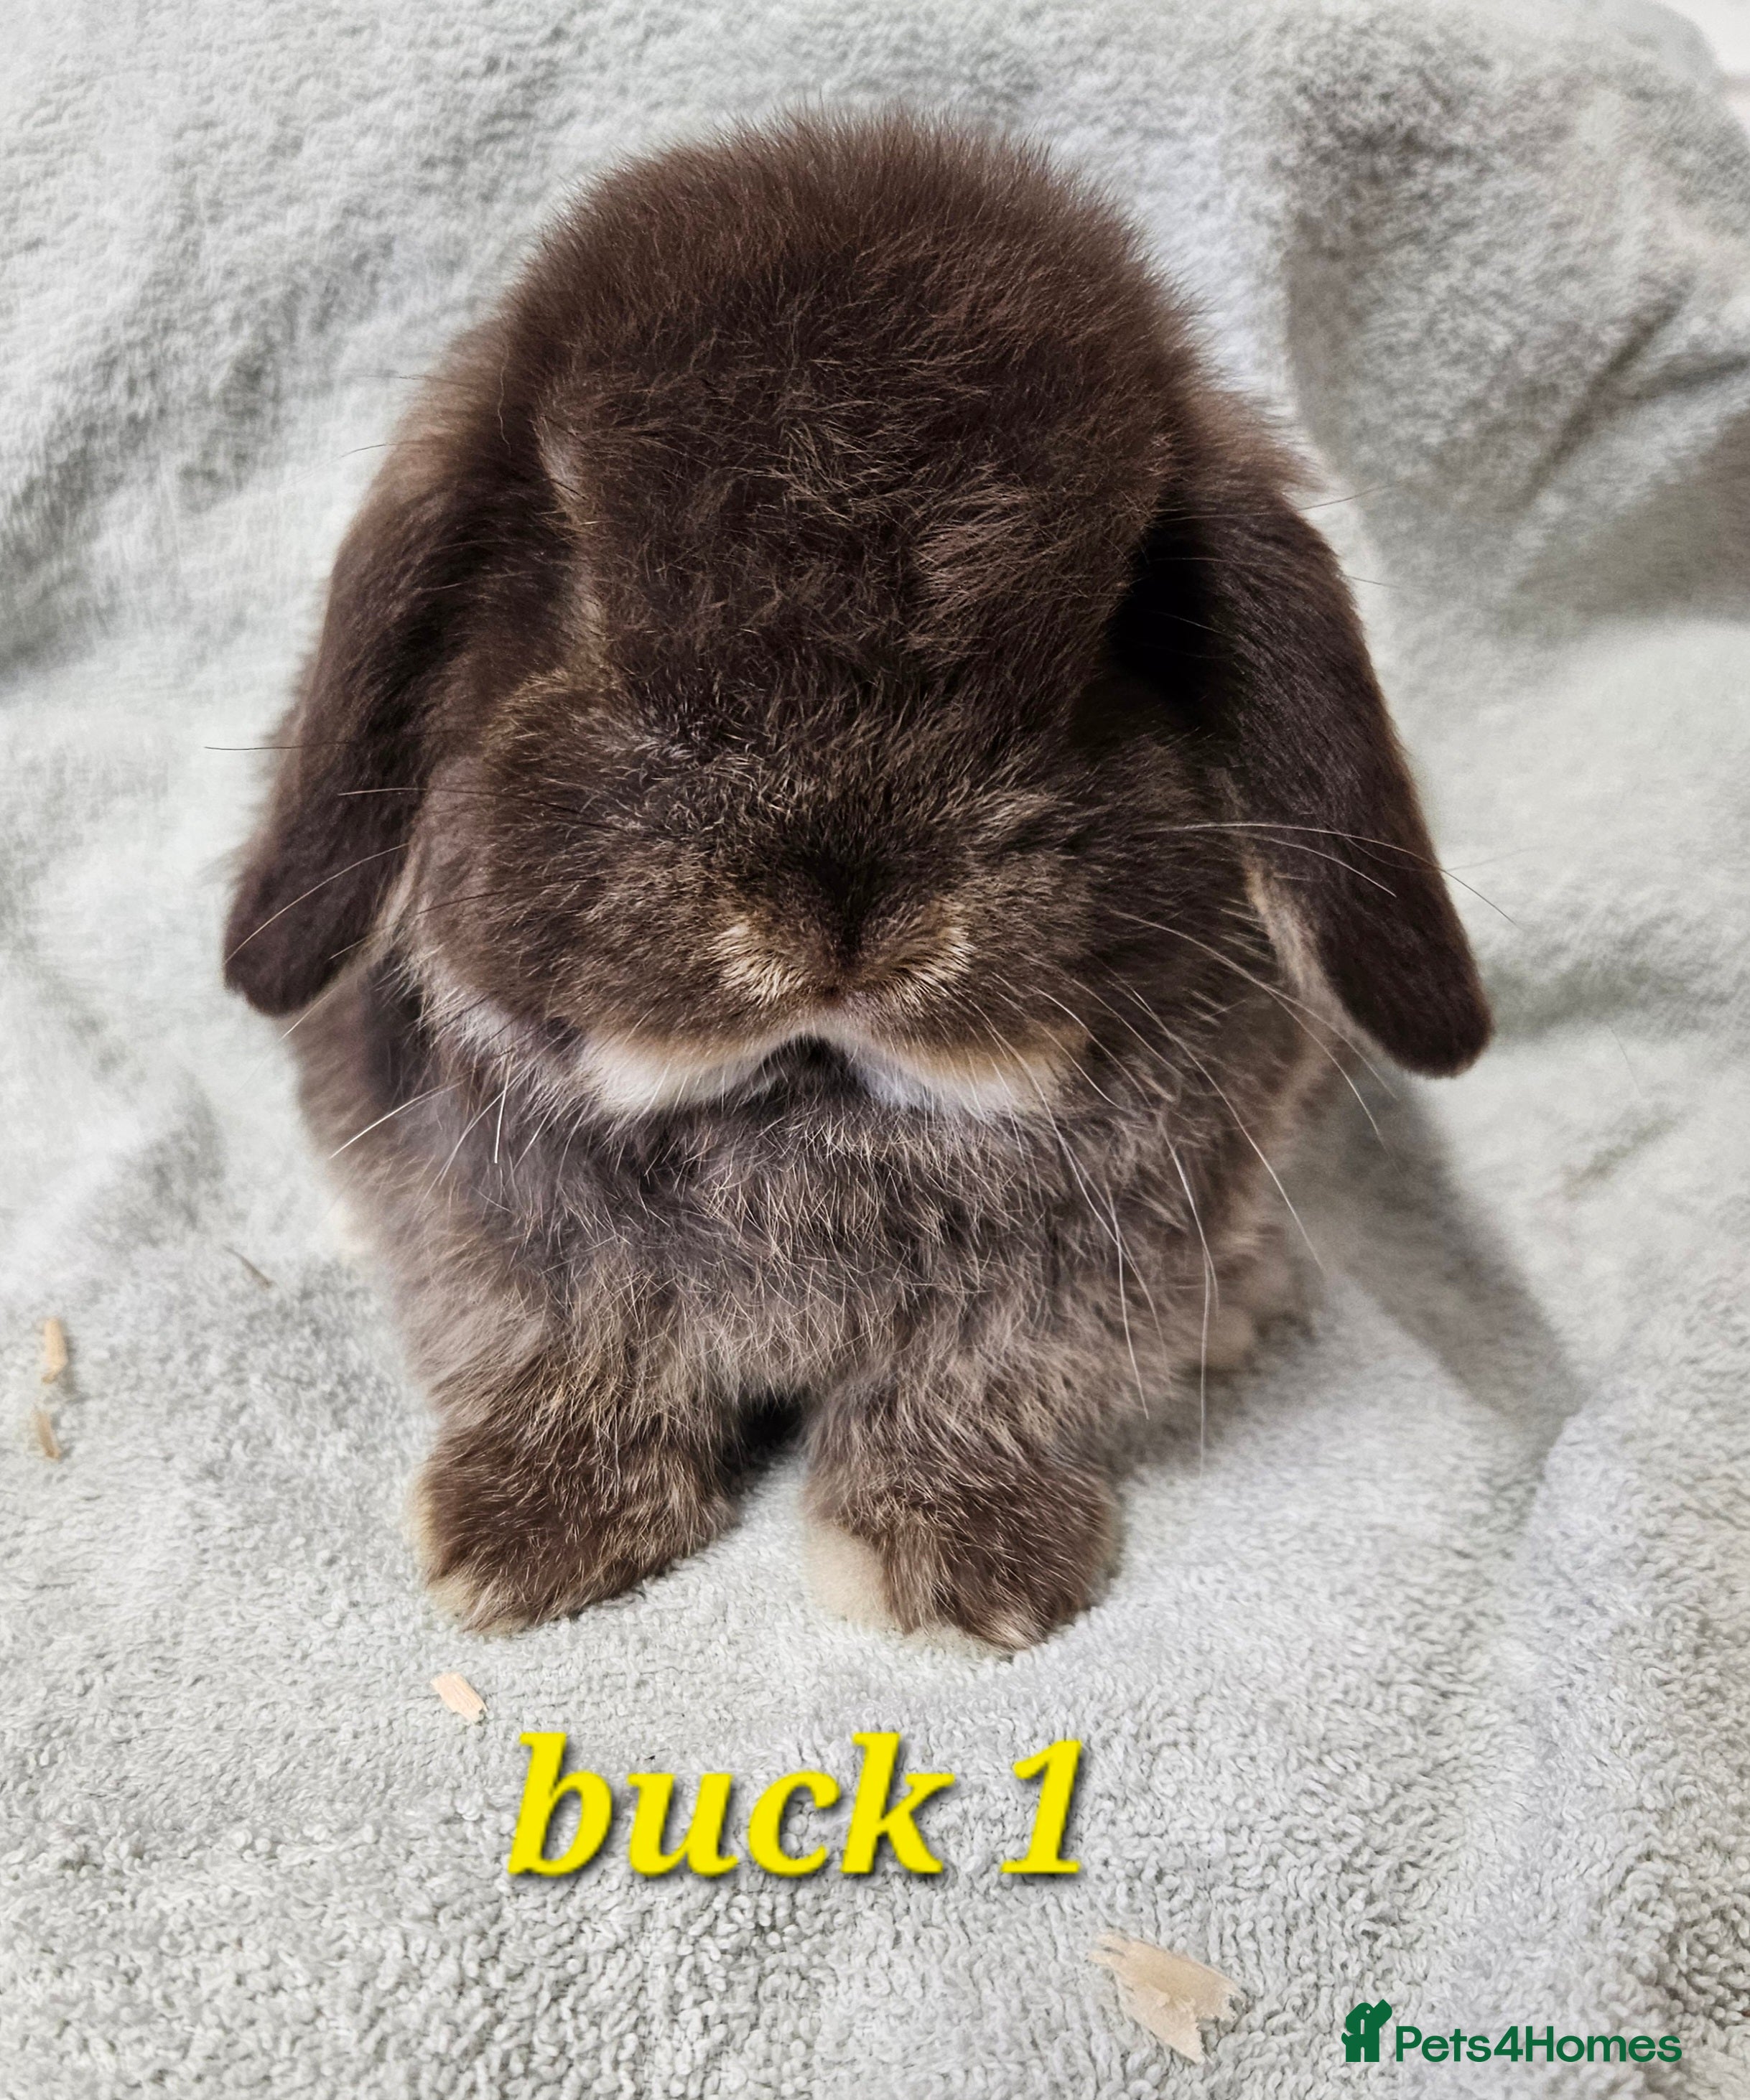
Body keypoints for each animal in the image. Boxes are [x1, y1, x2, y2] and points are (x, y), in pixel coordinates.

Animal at [222, 112, 1489, 1648]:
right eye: (576, 579)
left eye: (1112, 633)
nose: (837, 915)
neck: (807, 1112)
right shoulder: (495, 1237)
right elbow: (568, 1349)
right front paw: (521, 1540)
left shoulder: (1069, 1293)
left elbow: (968, 1390)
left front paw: (963, 1570)